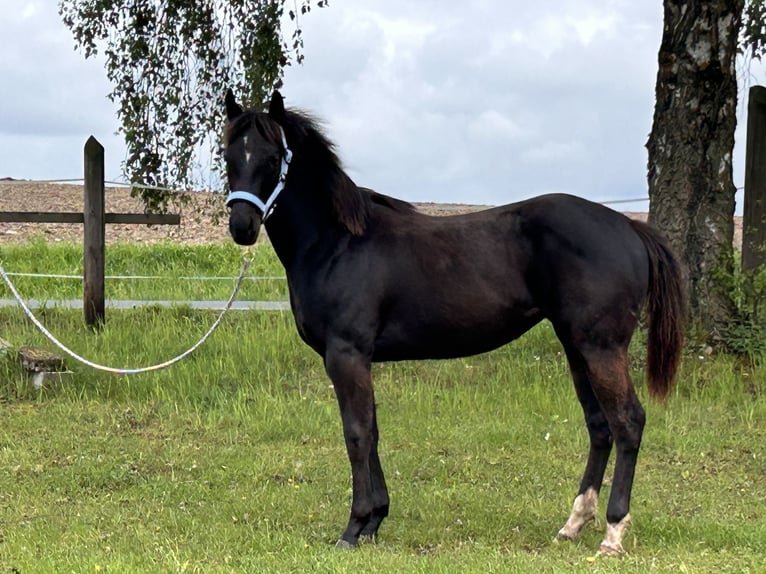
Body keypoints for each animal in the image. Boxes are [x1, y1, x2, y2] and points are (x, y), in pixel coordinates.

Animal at [222, 89, 687, 555]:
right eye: (228, 155)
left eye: (272, 157)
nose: (242, 226)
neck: (339, 243)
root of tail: (628, 228)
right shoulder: (360, 360)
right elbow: (372, 430)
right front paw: (374, 521)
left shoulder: (346, 355)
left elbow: (356, 434)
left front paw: (353, 528)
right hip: (576, 347)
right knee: (599, 426)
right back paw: (573, 523)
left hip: (601, 348)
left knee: (627, 422)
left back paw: (613, 531)